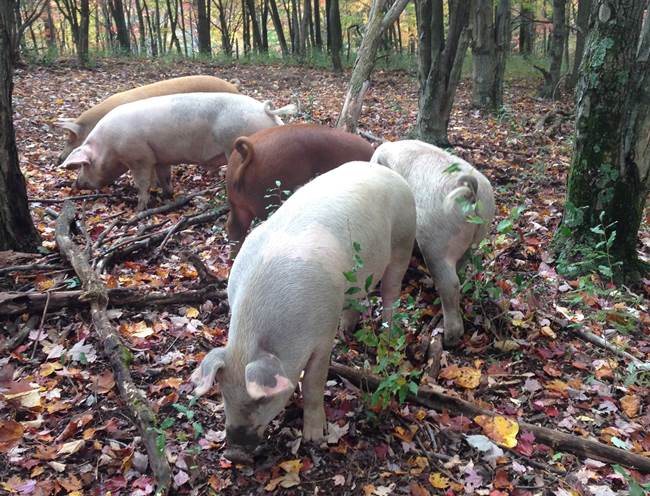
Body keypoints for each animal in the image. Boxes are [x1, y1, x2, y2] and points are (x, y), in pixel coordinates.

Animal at [60, 93, 294, 211]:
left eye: (84, 164)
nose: (76, 184)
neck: (108, 145)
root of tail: (267, 112)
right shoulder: (159, 158)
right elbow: (165, 177)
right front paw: (168, 196)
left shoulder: (139, 157)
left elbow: (142, 183)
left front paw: (139, 210)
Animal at [190, 162, 418, 462]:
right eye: (224, 393)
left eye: (261, 399)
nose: (234, 453)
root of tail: (389, 174)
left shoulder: (322, 333)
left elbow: (313, 382)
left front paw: (314, 438)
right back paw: (347, 333)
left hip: (404, 239)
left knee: (391, 290)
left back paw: (389, 337)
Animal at [368, 140, 494, 348]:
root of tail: (471, 190)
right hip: (475, 239)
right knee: (460, 269)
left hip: (436, 242)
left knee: (450, 284)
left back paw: (449, 339)